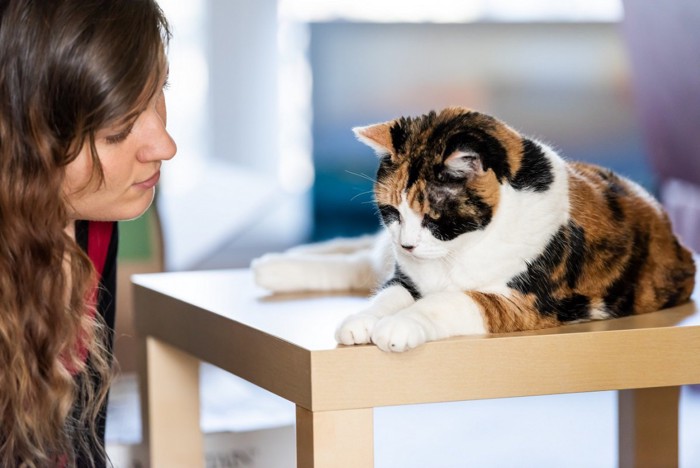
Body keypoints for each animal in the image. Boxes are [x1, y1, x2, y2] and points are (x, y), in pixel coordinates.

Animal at [254, 108, 696, 352]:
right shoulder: (406, 275)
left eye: (433, 217)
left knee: (362, 263)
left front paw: (398, 326)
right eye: (392, 212)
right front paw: (363, 319)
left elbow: (445, 302)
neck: (457, 252)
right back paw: (273, 265)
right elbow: (387, 294)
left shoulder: (522, 302)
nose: (408, 245)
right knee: (361, 260)